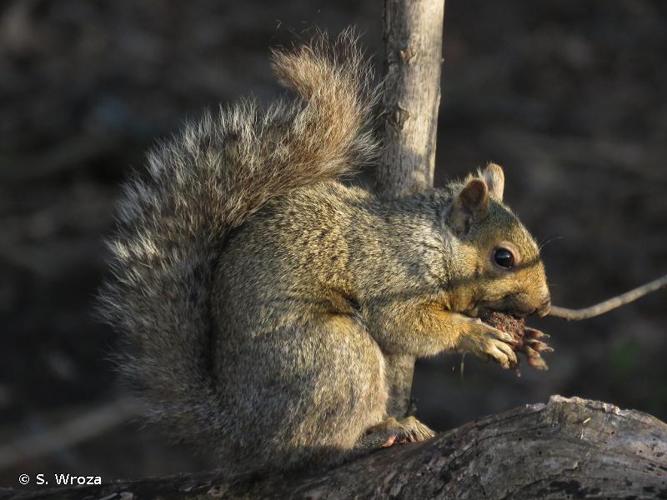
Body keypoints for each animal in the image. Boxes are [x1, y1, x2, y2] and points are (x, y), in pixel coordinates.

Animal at [96, 32, 552, 476]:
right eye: (504, 257)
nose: (545, 305)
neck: (431, 240)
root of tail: (241, 433)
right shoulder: (393, 276)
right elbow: (406, 326)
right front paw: (477, 335)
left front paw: (527, 338)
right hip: (335, 356)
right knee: (309, 450)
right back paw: (378, 434)